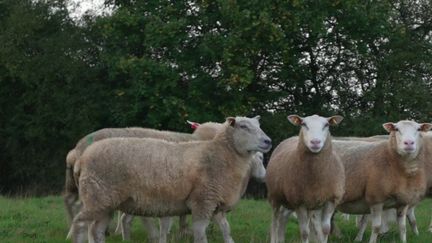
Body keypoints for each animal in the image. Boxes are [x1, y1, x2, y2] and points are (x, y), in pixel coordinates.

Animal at [266, 115, 344, 243]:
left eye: (326, 124)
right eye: (303, 124)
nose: (315, 142)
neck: (316, 178)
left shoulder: (330, 200)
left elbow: (325, 230)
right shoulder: (299, 202)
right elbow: (304, 232)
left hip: (302, 203)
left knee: (283, 218)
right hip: (275, 197)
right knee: (275, 222)